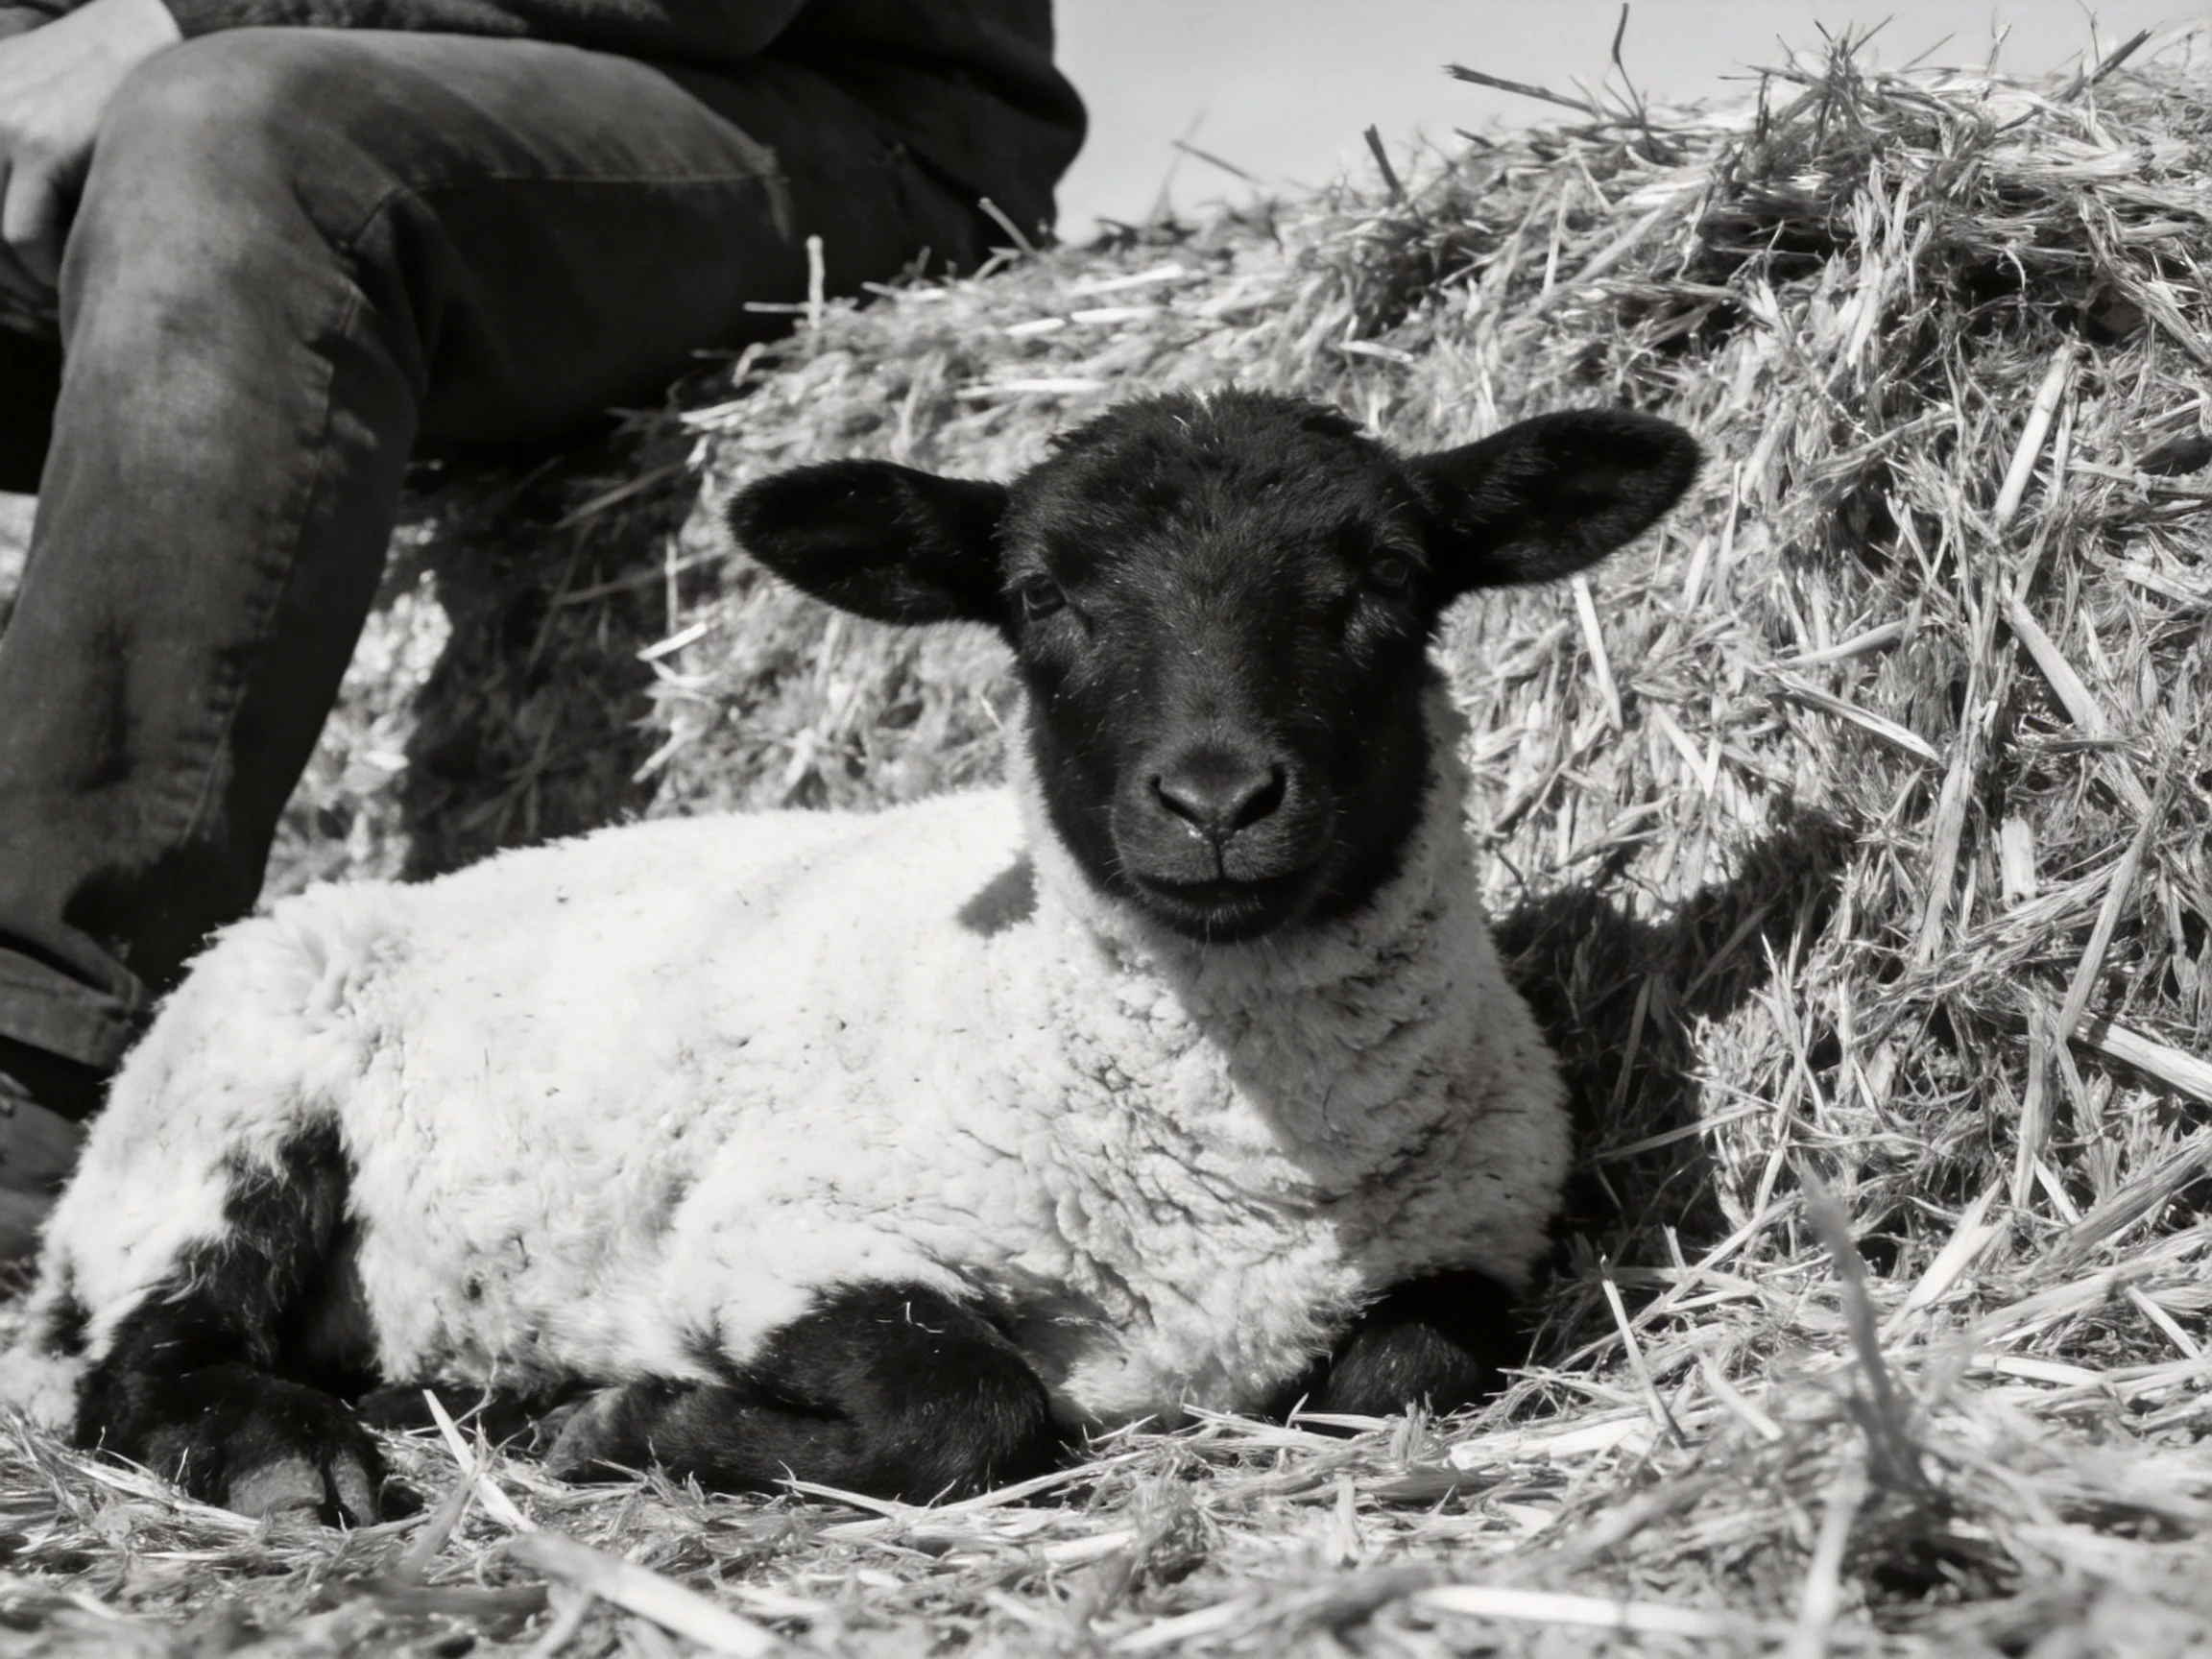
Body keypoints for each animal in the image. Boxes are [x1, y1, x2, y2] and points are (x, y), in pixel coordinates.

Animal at [0, 390, 1698, 1524]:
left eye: (1387, 587)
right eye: (1042, 598)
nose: (1217, 802)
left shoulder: (1471, 1242)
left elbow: (1399, 1372)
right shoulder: (782, 1234)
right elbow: (971, 1416)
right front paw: (628, 1420)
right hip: (222, 1115)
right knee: (132, 1361)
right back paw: (294, 1460)